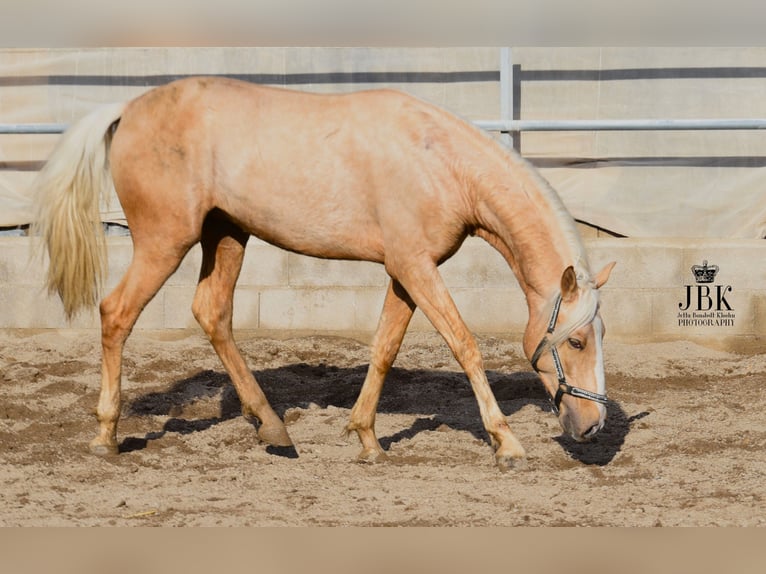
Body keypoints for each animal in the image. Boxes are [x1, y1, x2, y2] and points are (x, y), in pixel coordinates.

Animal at [33, 76, 616, 472]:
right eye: (578, 341)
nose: (593, 427)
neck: (438, 162)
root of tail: (128, 108)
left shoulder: (405, 271)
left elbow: (384, 349)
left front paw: (367, 439)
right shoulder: (415, 267)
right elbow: (465, 345)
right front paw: (506, 443)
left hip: (226, 235)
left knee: (211, 313)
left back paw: (273, 428)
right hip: (164, 242)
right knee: (116, 312)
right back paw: (106, 436)